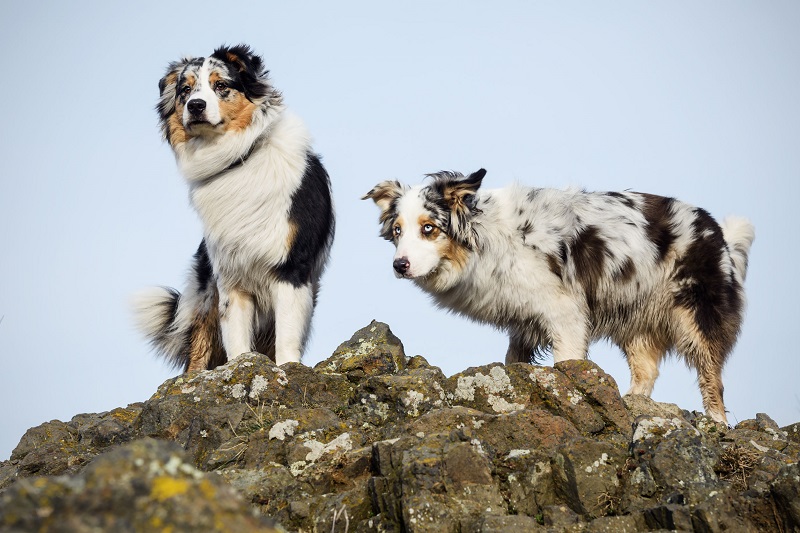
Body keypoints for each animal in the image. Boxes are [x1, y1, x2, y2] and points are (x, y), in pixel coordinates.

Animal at [133, 44, 332, 370]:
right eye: (185, 90)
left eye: (221, 85)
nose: (196, 106)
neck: (238, 160)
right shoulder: (230, 275)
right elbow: (235, 336)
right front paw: (240, 366)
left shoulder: (291, 268)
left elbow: (287, 335)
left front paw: (287, 368)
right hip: (205, 288)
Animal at [366, 168, 752, 422]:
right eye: (397, 231)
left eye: (429, 228)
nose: (400, 265)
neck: (489, 238)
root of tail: (716, 231)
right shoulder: (523, 320)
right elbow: (514, 362)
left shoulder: (566, 314)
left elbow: (567, 362)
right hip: (634, 317)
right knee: (647, 370)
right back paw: (632, 404)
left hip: (695, 318)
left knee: (712, 379)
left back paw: (716, 423)